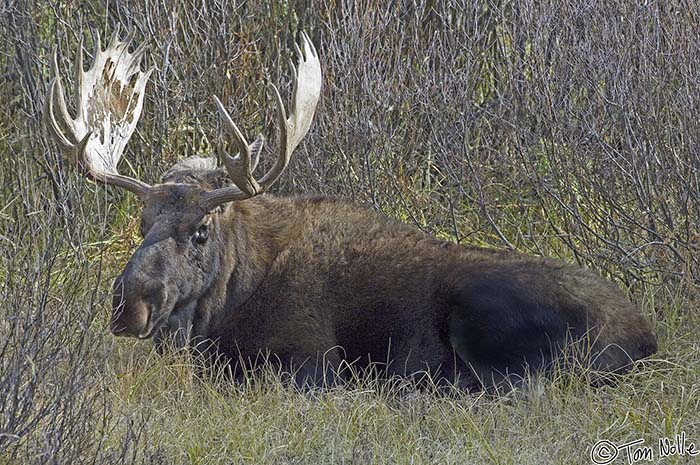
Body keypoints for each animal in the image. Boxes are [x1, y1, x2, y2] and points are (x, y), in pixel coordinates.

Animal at [42, 29, 656, 390]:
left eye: (200, 231)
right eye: (142, 223)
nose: (129, 303)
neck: (227, 302)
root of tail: (645, 337)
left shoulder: (312, 363)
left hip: (484, 312)